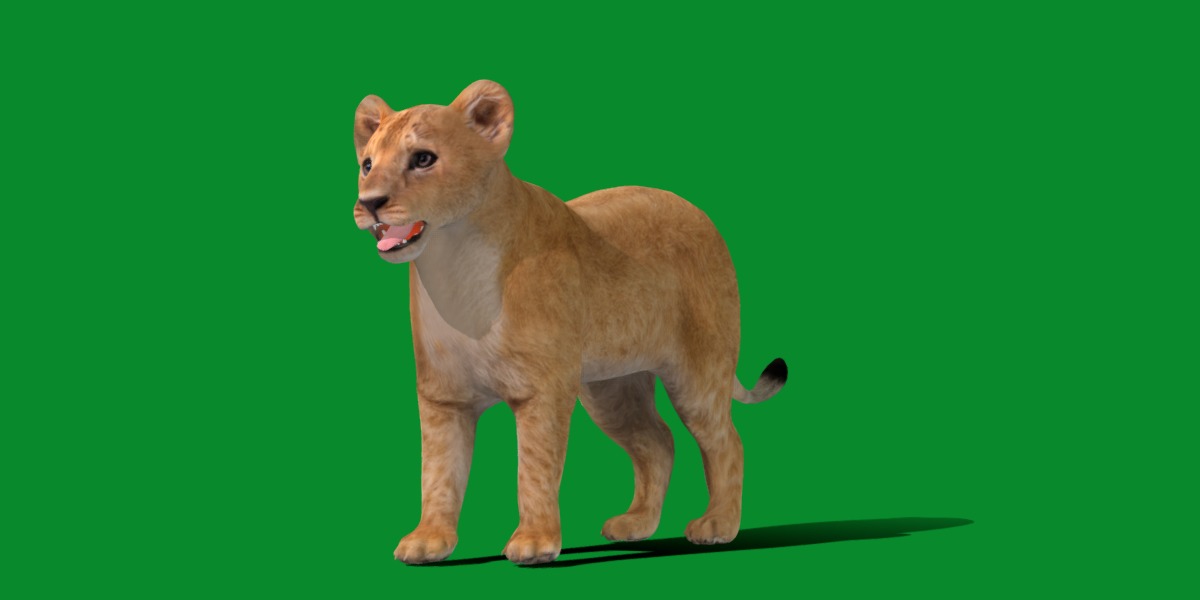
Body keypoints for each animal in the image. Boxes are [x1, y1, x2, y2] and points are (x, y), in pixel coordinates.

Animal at [352, 80, 788, 565]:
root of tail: (698, 212)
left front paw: (534, 543)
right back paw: (636, 524)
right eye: (367, 164)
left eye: (423, 158)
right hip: (612, 389)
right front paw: (428, 540)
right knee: (657, 442)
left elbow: (535, 468)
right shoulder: (443, 395)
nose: (369, 203)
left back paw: (718, 525)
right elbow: (438, 471)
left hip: (698, 374)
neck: (452, 264)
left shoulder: (541, 389)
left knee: (726, 441)